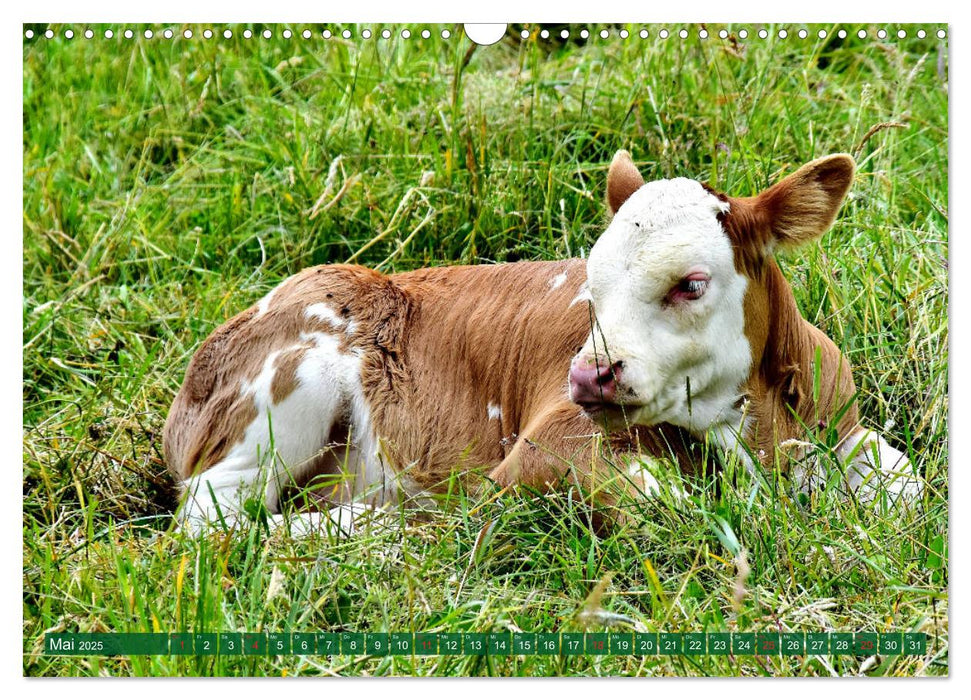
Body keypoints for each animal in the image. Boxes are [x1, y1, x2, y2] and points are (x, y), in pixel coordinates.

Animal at [163, 154, 924, 536]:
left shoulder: (840, 419)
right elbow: (667, 502)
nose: (589, 378)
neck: (754, 428)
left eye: (691, 283)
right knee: (219, 517)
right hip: (288, 387)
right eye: (590, 287)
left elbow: (906, 485)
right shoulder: (542, 448)